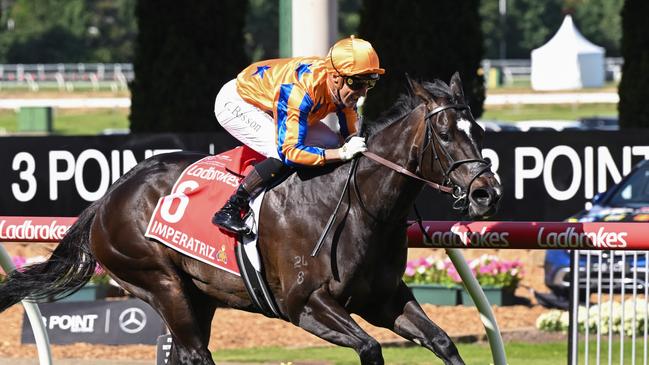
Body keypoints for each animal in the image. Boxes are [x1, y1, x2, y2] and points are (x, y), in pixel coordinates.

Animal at [0, 72, 502, 362]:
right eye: (444, 133)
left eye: (478, 129)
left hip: (198, 295)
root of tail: (107, 199)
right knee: (196, 354)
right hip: (158, 282)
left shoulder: (384, 298)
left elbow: (443, 341)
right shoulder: (306, 306)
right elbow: (370, 347)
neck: (358, 206)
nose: (486, 193)